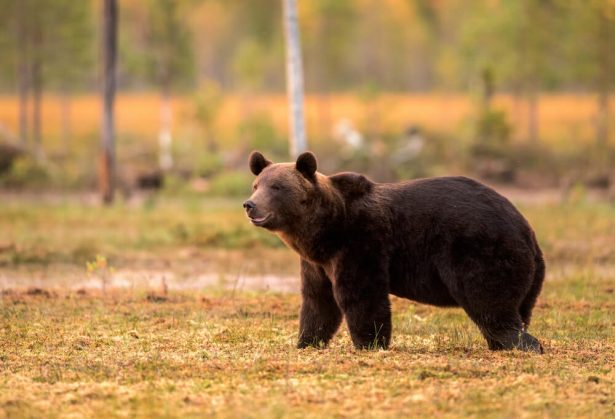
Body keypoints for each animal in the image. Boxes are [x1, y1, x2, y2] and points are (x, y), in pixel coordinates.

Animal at [244, 149, 544, 352]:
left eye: (277, 187)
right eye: (256, 185)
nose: (250, 204)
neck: (325, 229)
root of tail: (526, 228)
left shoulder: (361, 242)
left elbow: (362, 296)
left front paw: (370, 343)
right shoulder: (317, 262)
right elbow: (319, 301)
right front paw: (306, 341)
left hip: (480, 251)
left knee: (491, 306)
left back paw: (521, 344)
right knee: (516, 310)